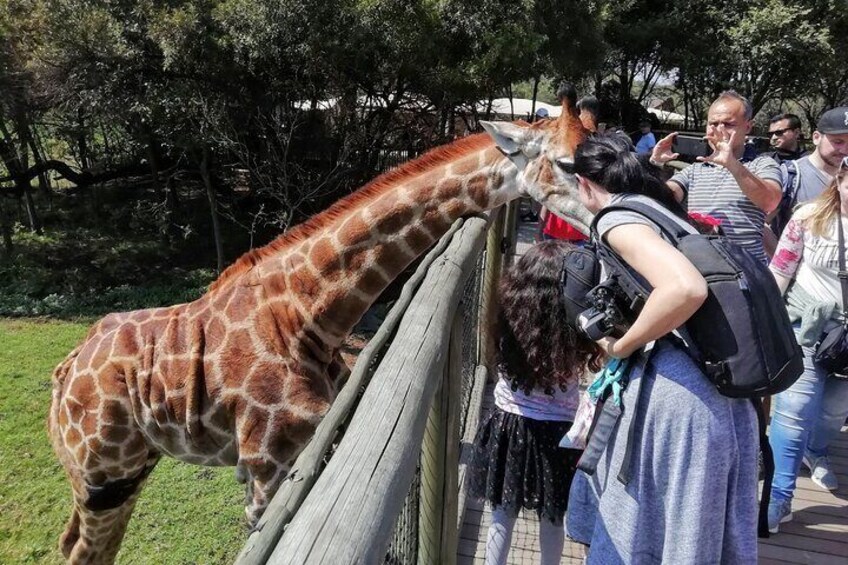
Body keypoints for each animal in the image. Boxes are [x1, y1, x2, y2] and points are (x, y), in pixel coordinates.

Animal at [46, 98, 588, 564]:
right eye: (565, 163)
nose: (607, 217)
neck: (309, 315)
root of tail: (64, 372)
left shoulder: (314, 438)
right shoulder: (265, 464)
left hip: (130, 466)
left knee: (77, 543)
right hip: (101, 476)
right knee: (83, 549)